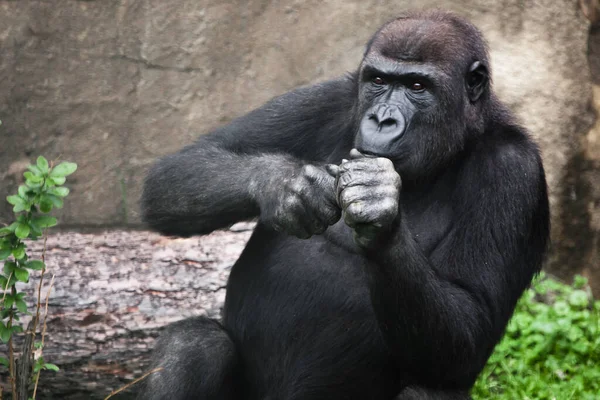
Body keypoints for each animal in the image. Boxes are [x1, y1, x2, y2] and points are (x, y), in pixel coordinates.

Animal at [139, 9, 548, 400]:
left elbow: (468, 328)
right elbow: (178, 170)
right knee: (194, 344)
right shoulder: (332, 96)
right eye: (379, 81)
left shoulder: (513, 171)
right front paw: (285, 185)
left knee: (428, 390)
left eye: (417, 86)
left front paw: (380, 217)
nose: (381, 119)